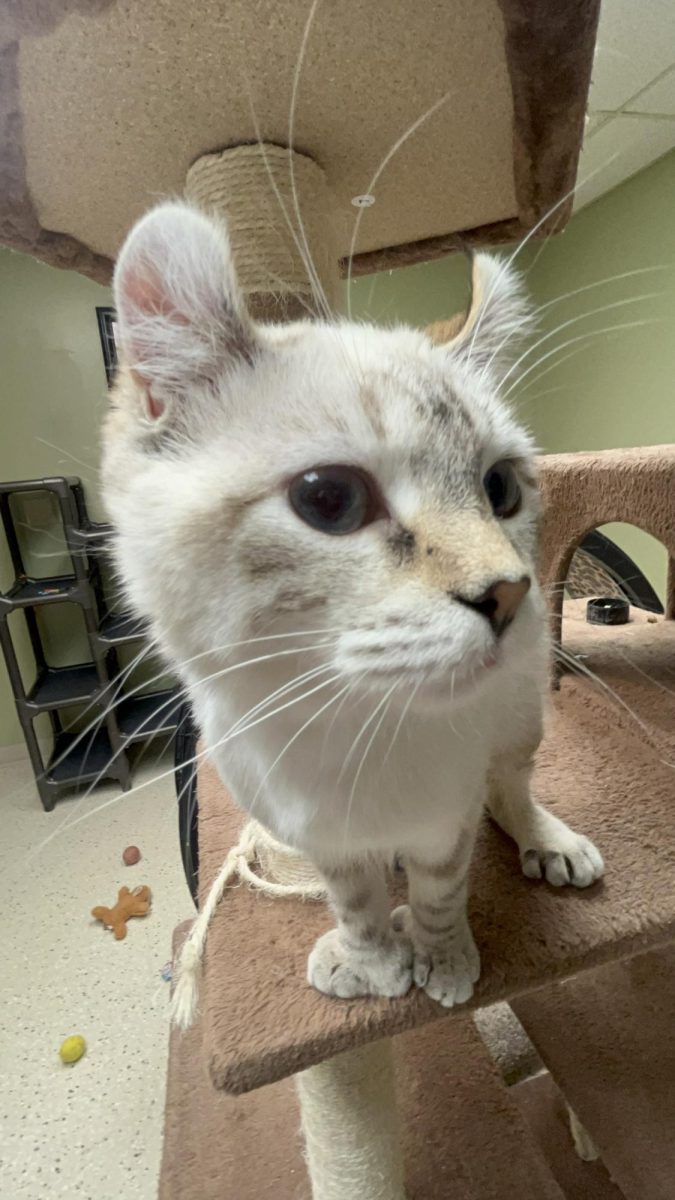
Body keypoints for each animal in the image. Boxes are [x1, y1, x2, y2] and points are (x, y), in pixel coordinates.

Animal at [102, 201, 600, 1008]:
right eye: (329, 498)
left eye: (499, 489)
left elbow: (440, 890)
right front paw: (371, 962)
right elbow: (354, 899)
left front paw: (442, 962)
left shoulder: (446, 821)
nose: (507, 592)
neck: (351, 734)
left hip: (521, 712)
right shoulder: (316, 839)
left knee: (509, 783)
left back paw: (546, 841)